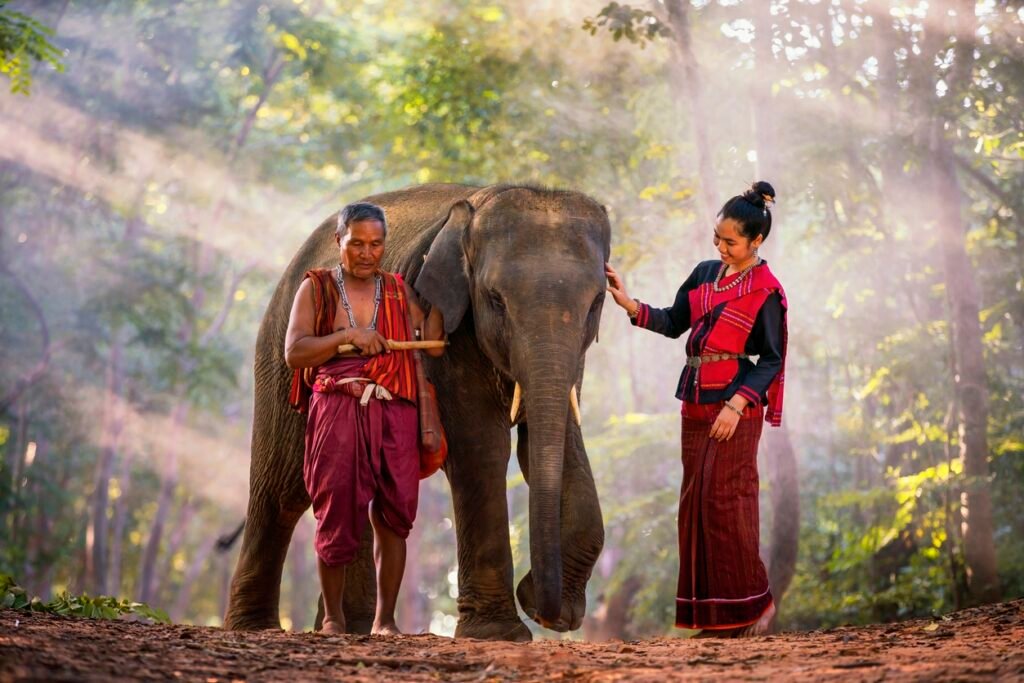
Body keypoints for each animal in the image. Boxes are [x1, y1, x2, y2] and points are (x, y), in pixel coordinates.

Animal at [223, 183, 606, 643]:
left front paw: (551, 609)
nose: (545, 609)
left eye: (596, 303)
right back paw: (255, 628)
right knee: (280, 491)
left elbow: (554, 442)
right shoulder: (453, 336)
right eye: (495, 300)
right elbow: (482, 448)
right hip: (280, 352)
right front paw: (497, 633)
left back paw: (352, 627)